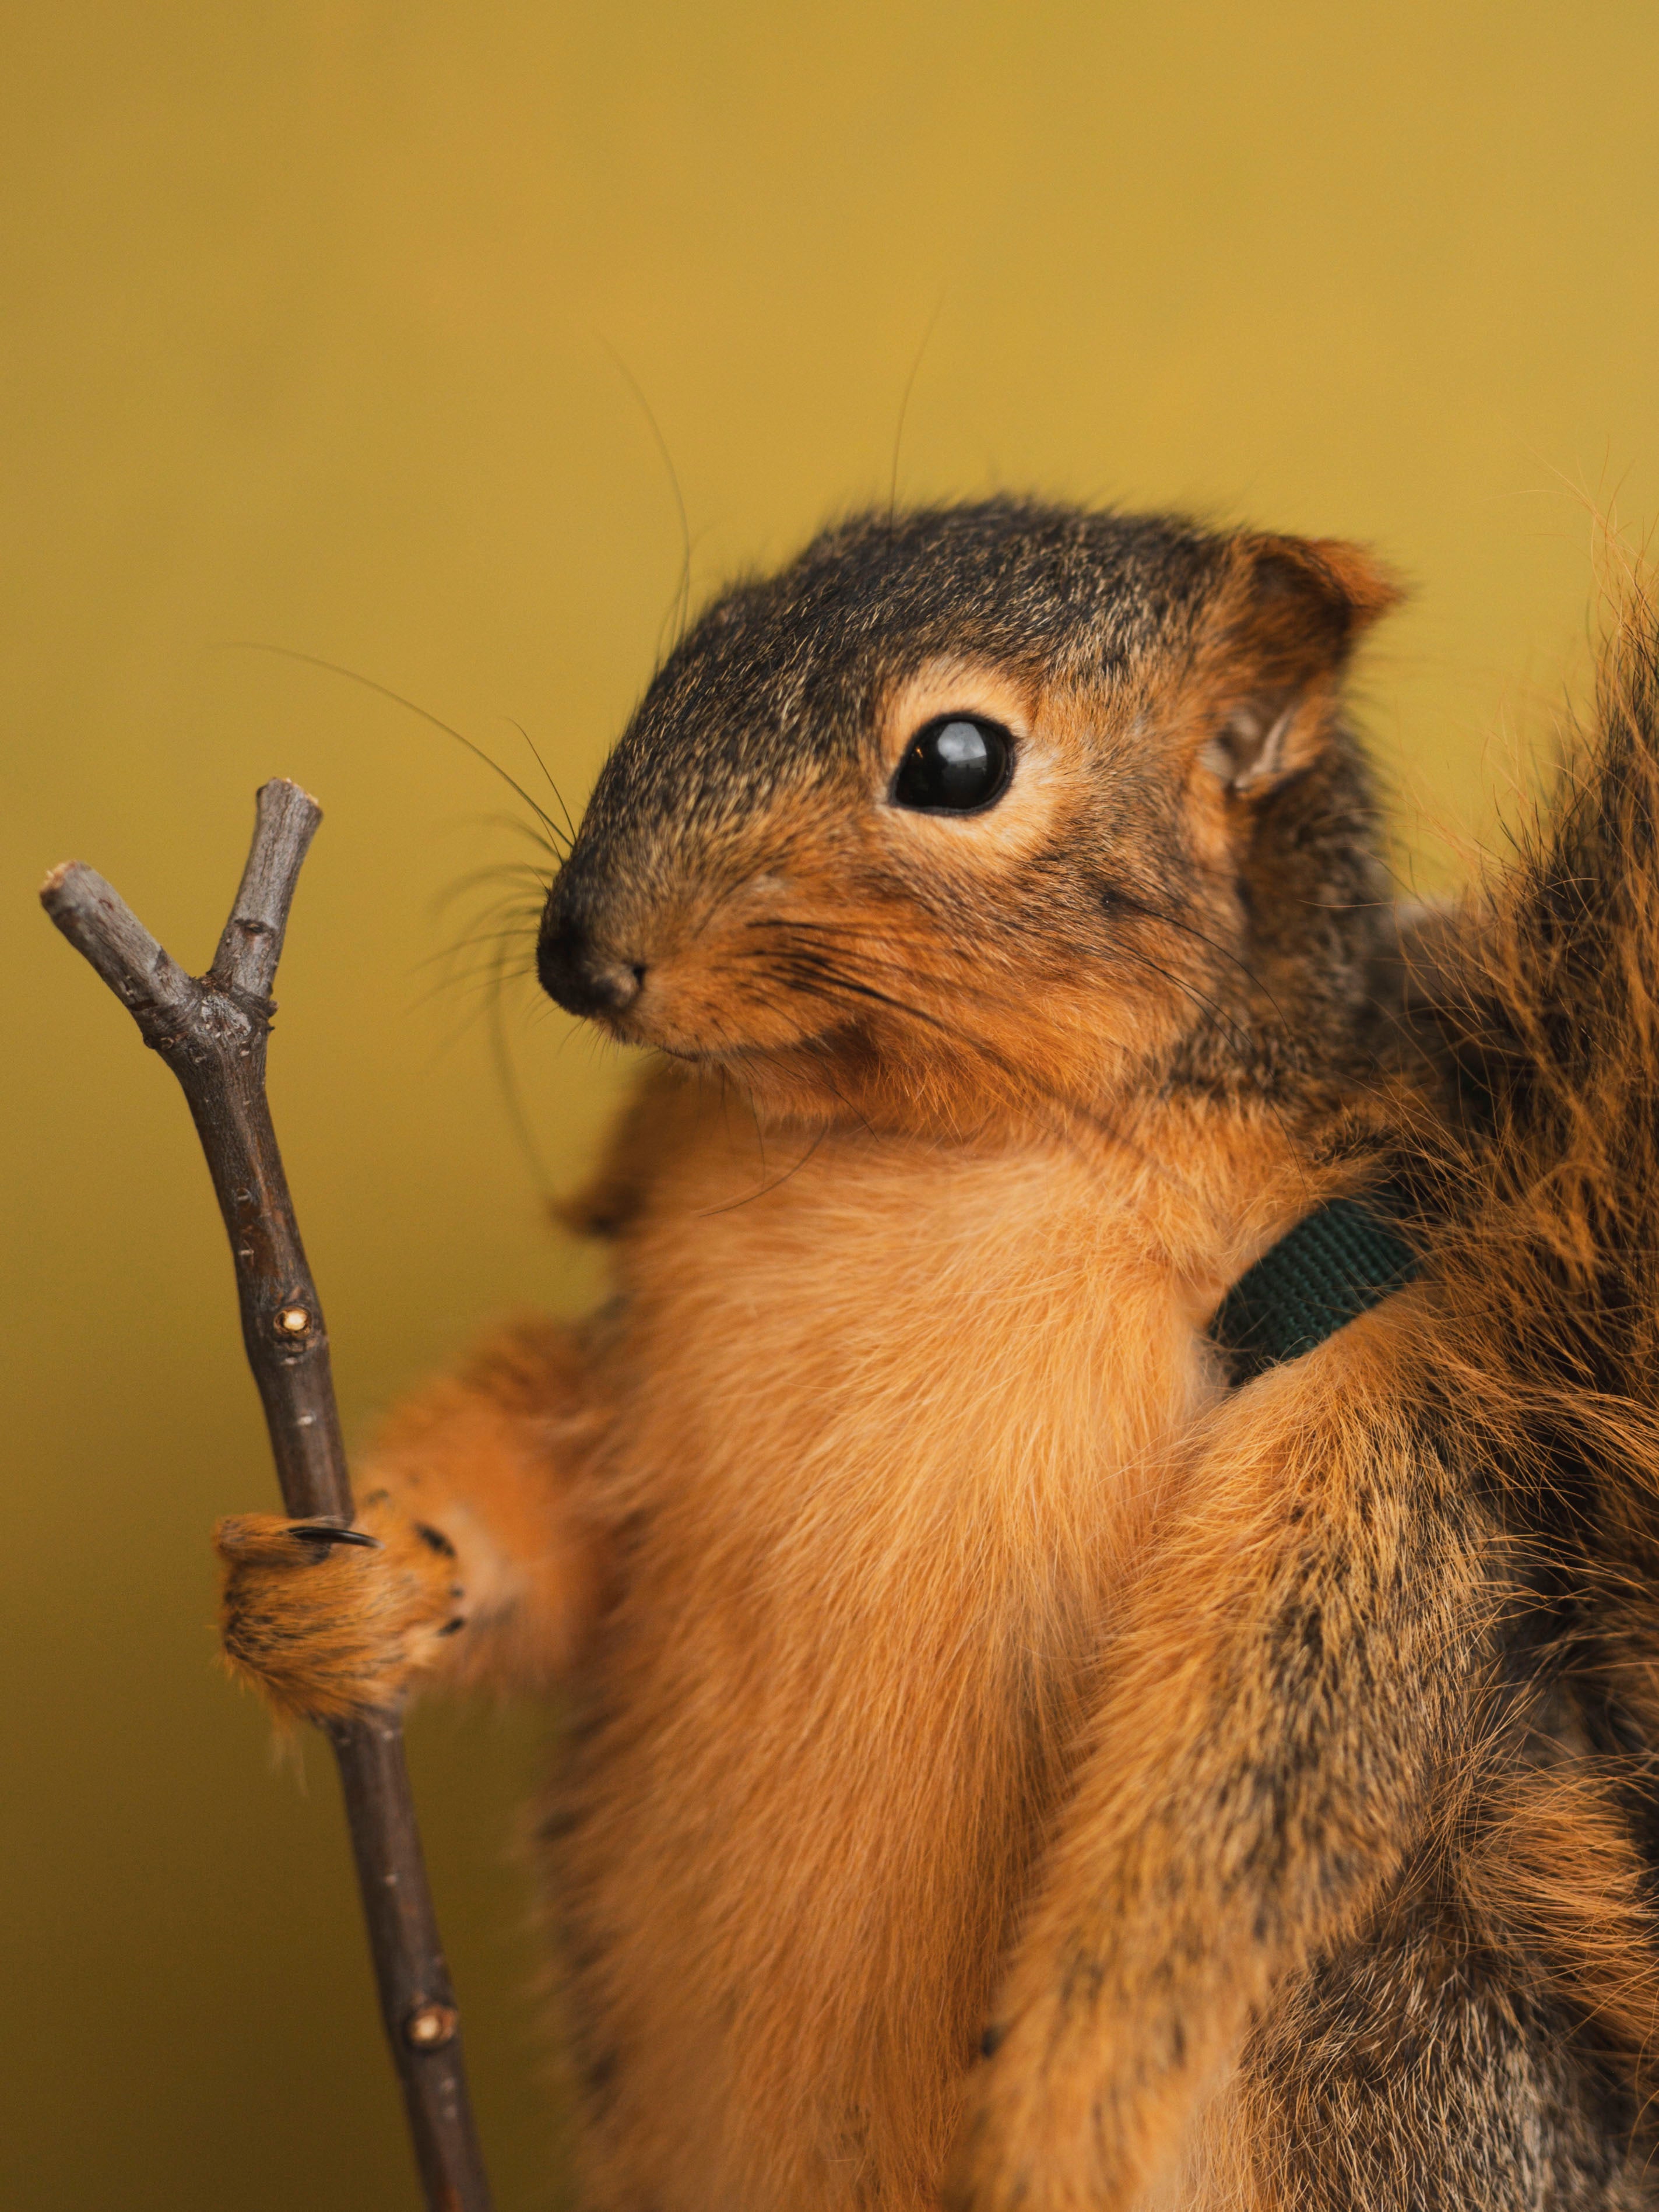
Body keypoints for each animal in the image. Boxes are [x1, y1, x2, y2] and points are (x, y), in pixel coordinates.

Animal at [215, 499, 1659, 2210]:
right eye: (698, 641)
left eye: (958, 760)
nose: (579, 957)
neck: (925, 1141)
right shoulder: (636, 1355)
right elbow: (548, 1498)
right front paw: (355, 1582)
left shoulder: (1371, 1354)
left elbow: (1259, 1751)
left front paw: (1065, 2093)